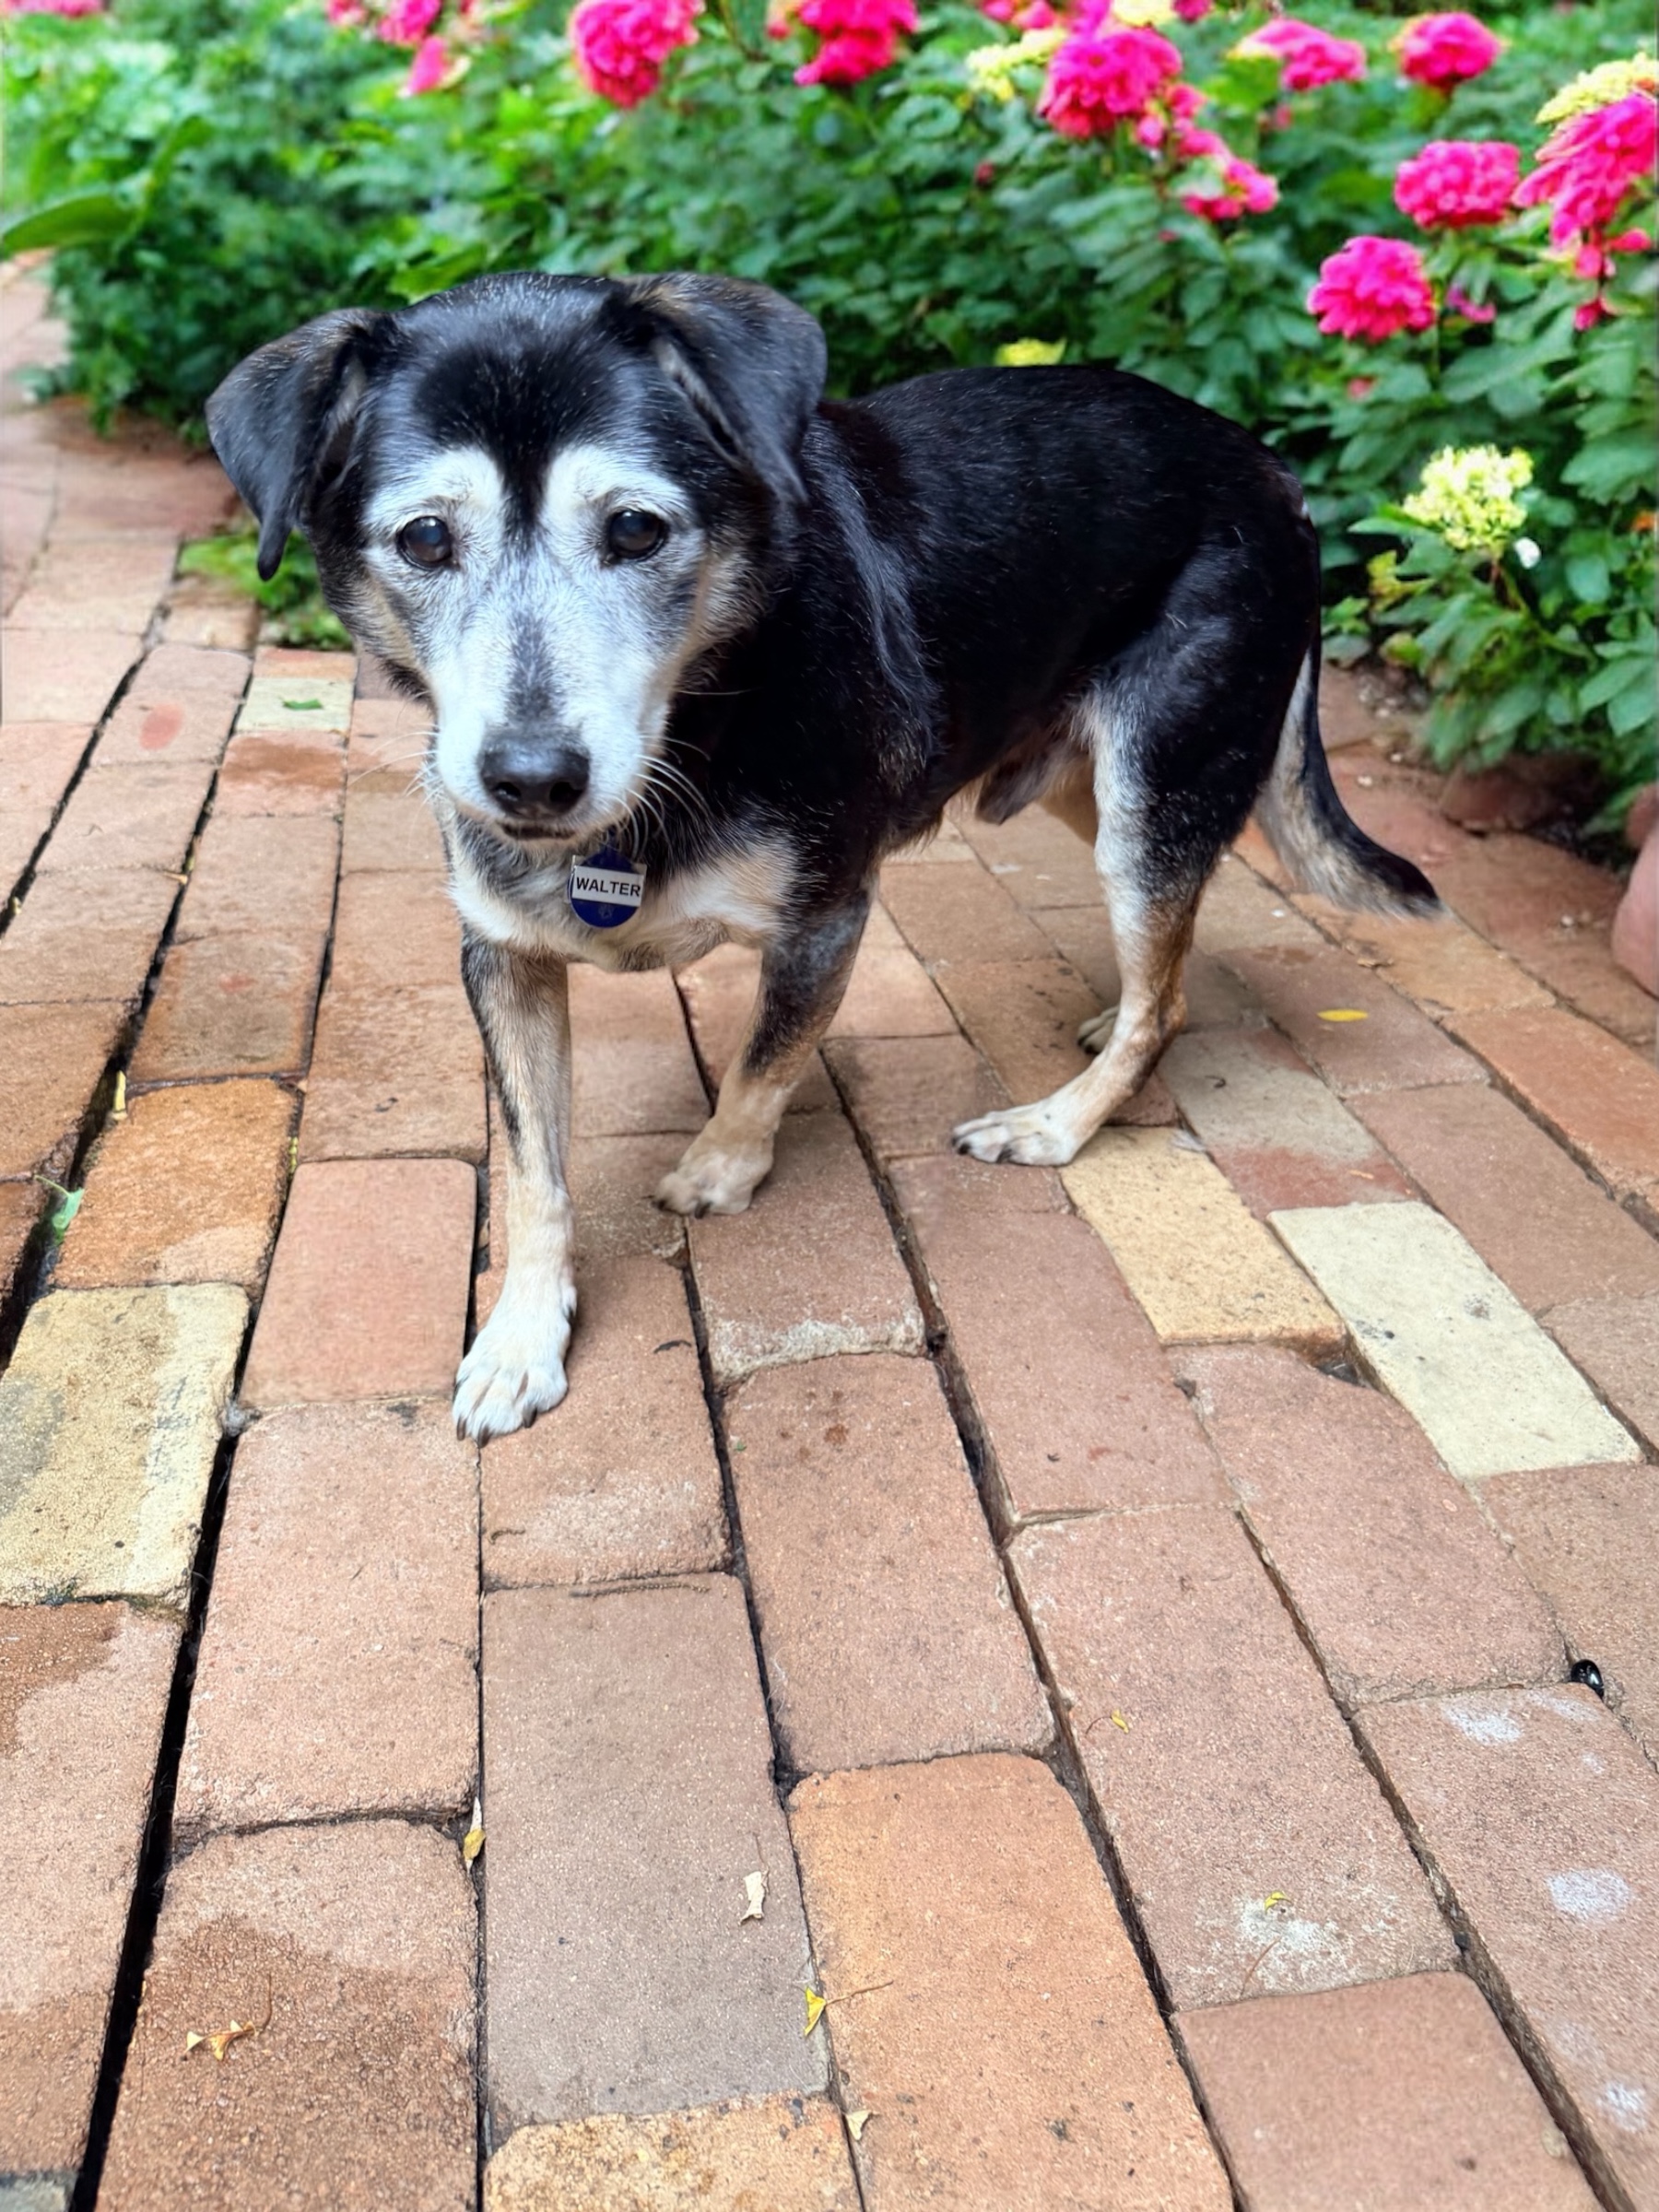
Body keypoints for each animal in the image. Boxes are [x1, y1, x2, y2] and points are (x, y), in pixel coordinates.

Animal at [207, 270, 1438, 1441]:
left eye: (637, 530)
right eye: (424, 539)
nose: (531, 780)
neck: (694, 731)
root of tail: (1267, 466)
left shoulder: (828, 916)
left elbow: (765, 1062)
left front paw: (720, 1171)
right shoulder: (504, 957)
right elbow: (534, 1173)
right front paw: (521, 1337)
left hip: (1152, 787)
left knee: (1164, 995)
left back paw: (1055, 1121)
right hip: (1086, 780)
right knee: (1173, 959)